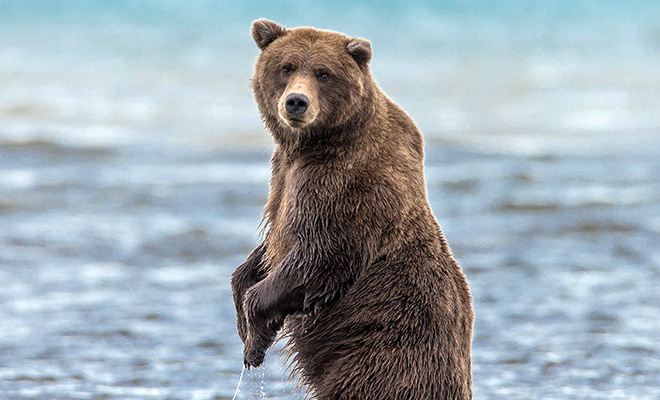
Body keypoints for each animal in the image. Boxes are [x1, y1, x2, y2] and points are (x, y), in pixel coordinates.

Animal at [232, 18, 474, 400]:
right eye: (286, 67)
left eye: (323, 73)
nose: (296, 102)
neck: (315, 143)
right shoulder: (283, 176)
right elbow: (270, 244)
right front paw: (244, 306)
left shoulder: (346, 184)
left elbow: (321, 254)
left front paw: (255, 332)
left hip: (380, 356)